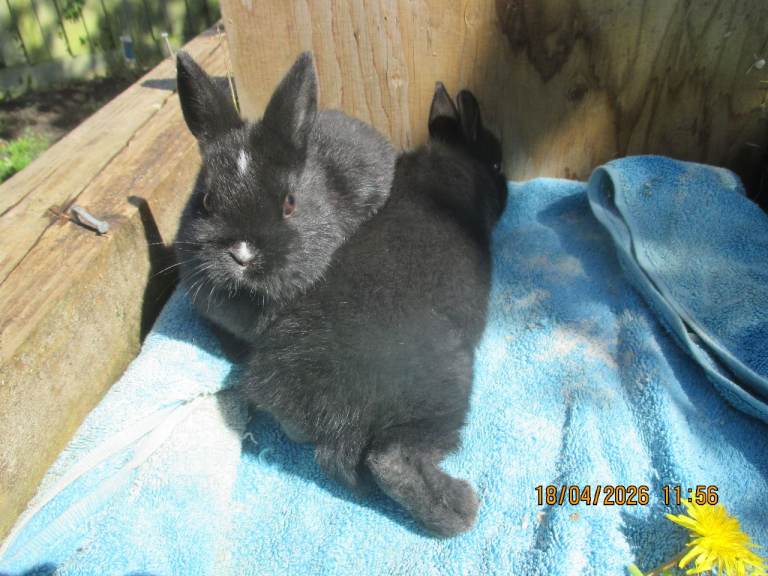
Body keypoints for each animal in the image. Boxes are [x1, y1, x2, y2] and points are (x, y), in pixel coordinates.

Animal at [243, 80, 507, 537]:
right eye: (495, 162)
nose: (509, 190)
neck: (454, 160)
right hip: (442, 385)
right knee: (392, 459)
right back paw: (460, 508)